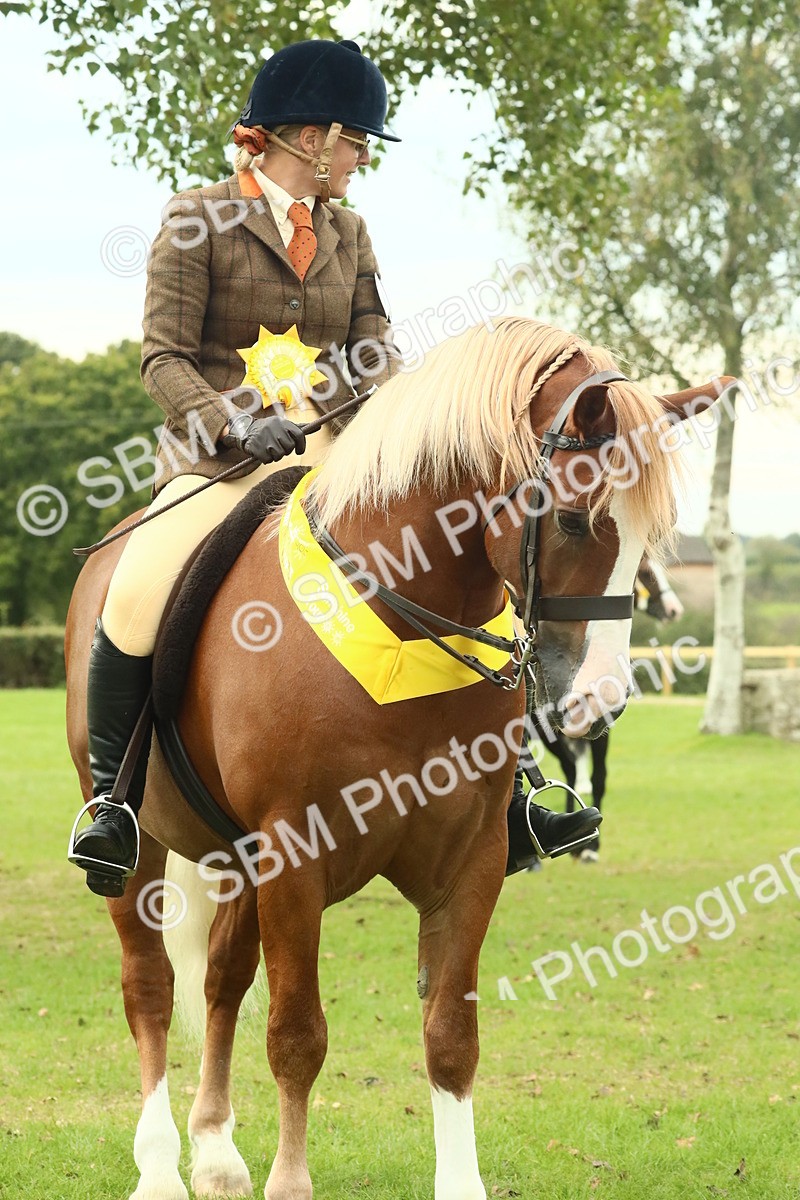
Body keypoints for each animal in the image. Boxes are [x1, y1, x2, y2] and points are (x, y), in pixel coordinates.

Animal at [65, 317, 726, 1200]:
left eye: (653, 537)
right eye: (574, 521)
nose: (602, 698)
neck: (398, 613)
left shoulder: (471, 857)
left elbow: (450, 1035)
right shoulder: (294, 857)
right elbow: (297, 1035)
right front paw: (290, 1184)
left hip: (234, 856)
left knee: (221, 978)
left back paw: (214, 1151)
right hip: (142, 852)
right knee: (151, 987)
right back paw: (162, 1168)